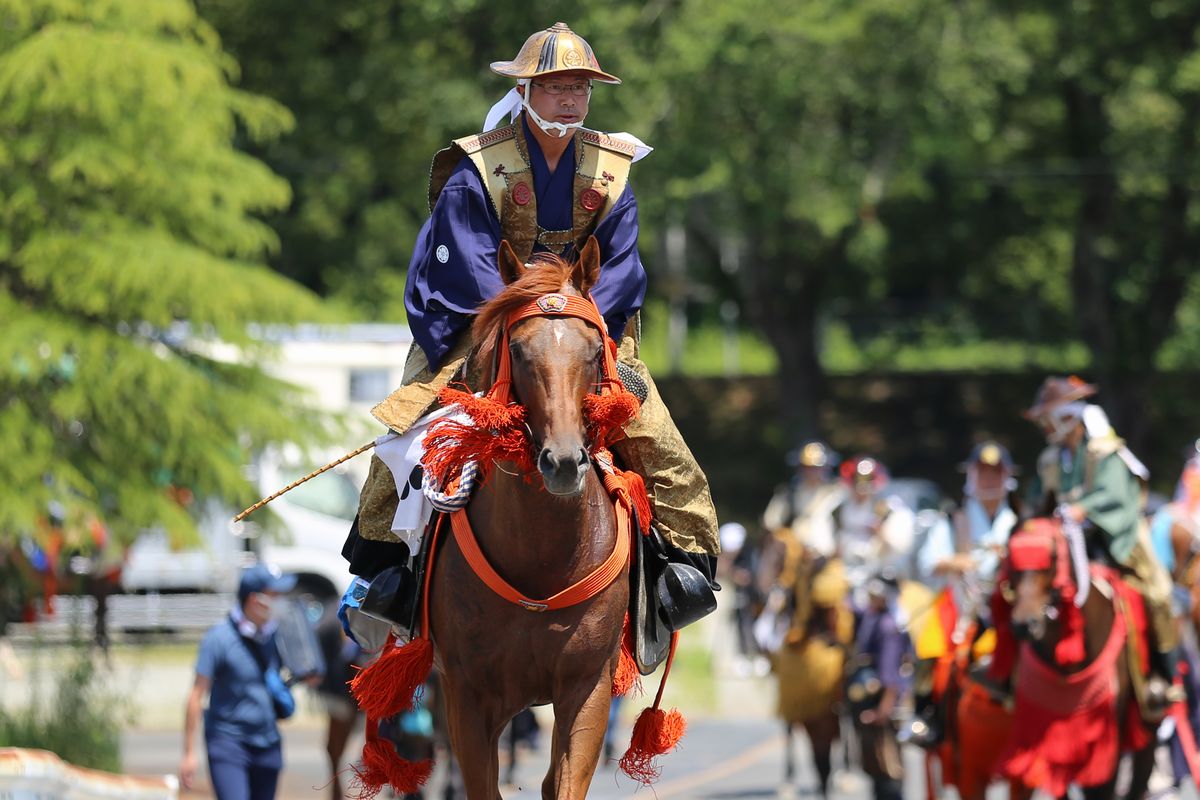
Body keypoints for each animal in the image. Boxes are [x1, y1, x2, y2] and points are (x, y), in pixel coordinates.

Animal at [432, 241, 633, 796]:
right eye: (519, 351)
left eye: (593, 351)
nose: (563, 461)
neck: (540, 558)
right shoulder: (466, 693)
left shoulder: (587, 687)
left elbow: (564, 783)